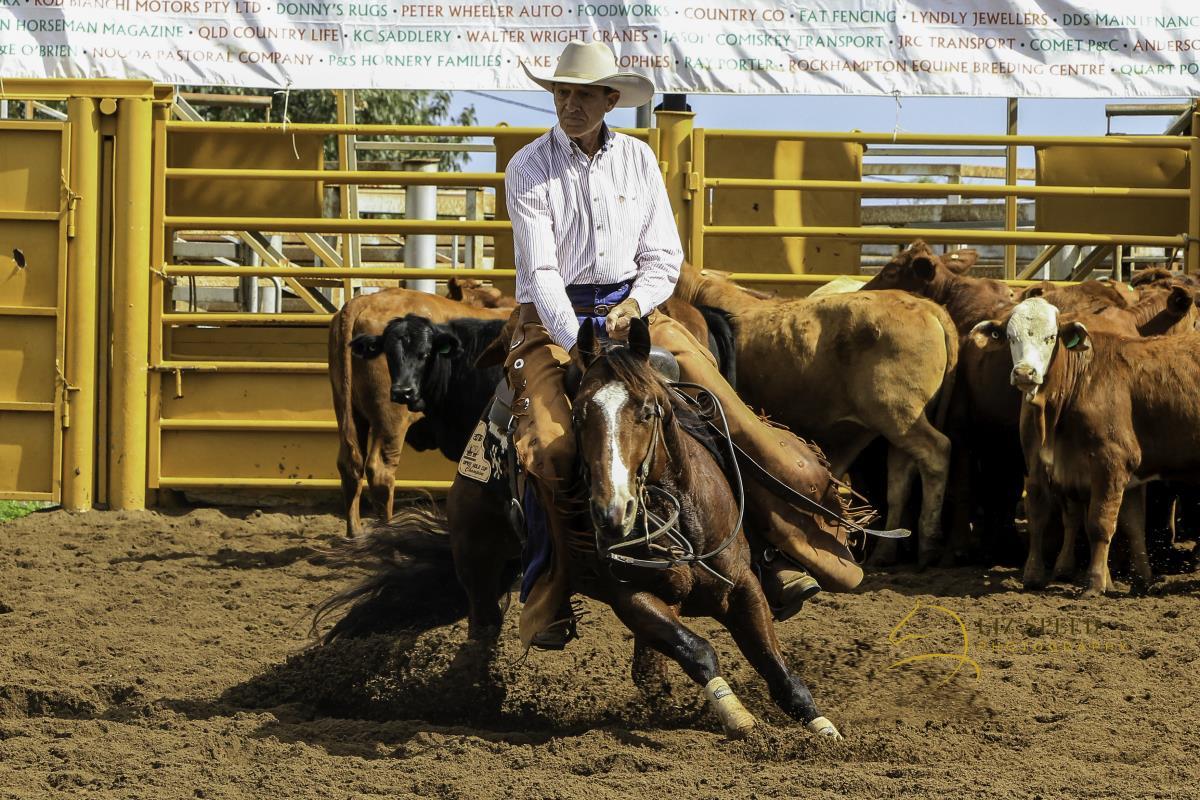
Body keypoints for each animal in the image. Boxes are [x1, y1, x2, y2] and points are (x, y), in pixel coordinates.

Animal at [316, 317, 843, 740]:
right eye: (580, 413)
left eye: (647, 410)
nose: (613, 511)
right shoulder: (632, 599)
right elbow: (698, 650)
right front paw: (739, 719)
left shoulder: (743, 588)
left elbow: (776, 667)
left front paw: (823, 729)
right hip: (477, 559)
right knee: (482, 632)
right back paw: (476, 699)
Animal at [329, 288, 510, 536]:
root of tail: (363, 302)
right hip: (390, 421)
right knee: (380, 472)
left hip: (349, 412)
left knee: (350, 464)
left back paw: (355, 533)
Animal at [675, 261, 958, 566]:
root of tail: (925, 305)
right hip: (898, 423)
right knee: (900, 477)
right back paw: (885, 551)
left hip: (899, 416)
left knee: (937, 452)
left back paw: (929, 543)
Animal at [972, 296, 1200, 596]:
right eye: (1010, 337)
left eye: (1051, 337)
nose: (1024, 373)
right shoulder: (1045, 465)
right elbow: (1046, 516)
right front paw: (1035, 575)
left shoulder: (1112, 462)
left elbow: (1100, 524)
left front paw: (1094, 583)